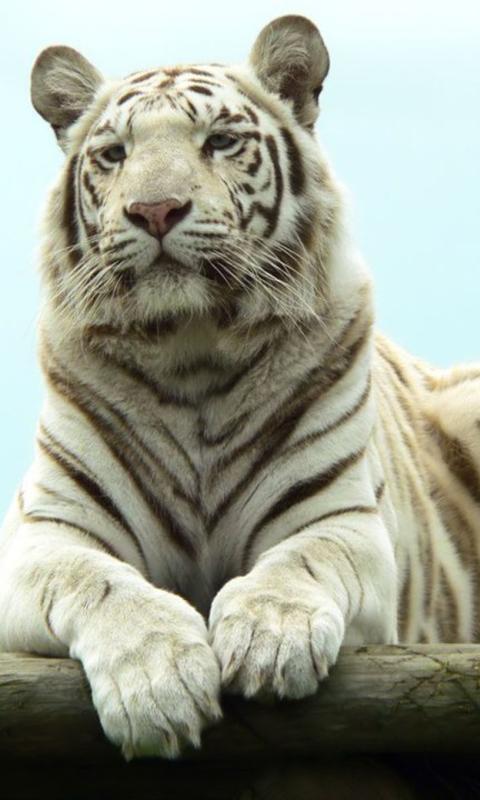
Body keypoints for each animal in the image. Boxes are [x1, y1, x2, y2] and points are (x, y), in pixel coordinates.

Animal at [0, 14, 479, 762]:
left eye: (219, 142)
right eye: (113, 154)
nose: (155, 209)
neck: (191, 352)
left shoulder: (341, 520)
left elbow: (301, 563)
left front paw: (269, 639)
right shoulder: (47, 535)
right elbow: (102, 585)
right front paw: (157, 682)